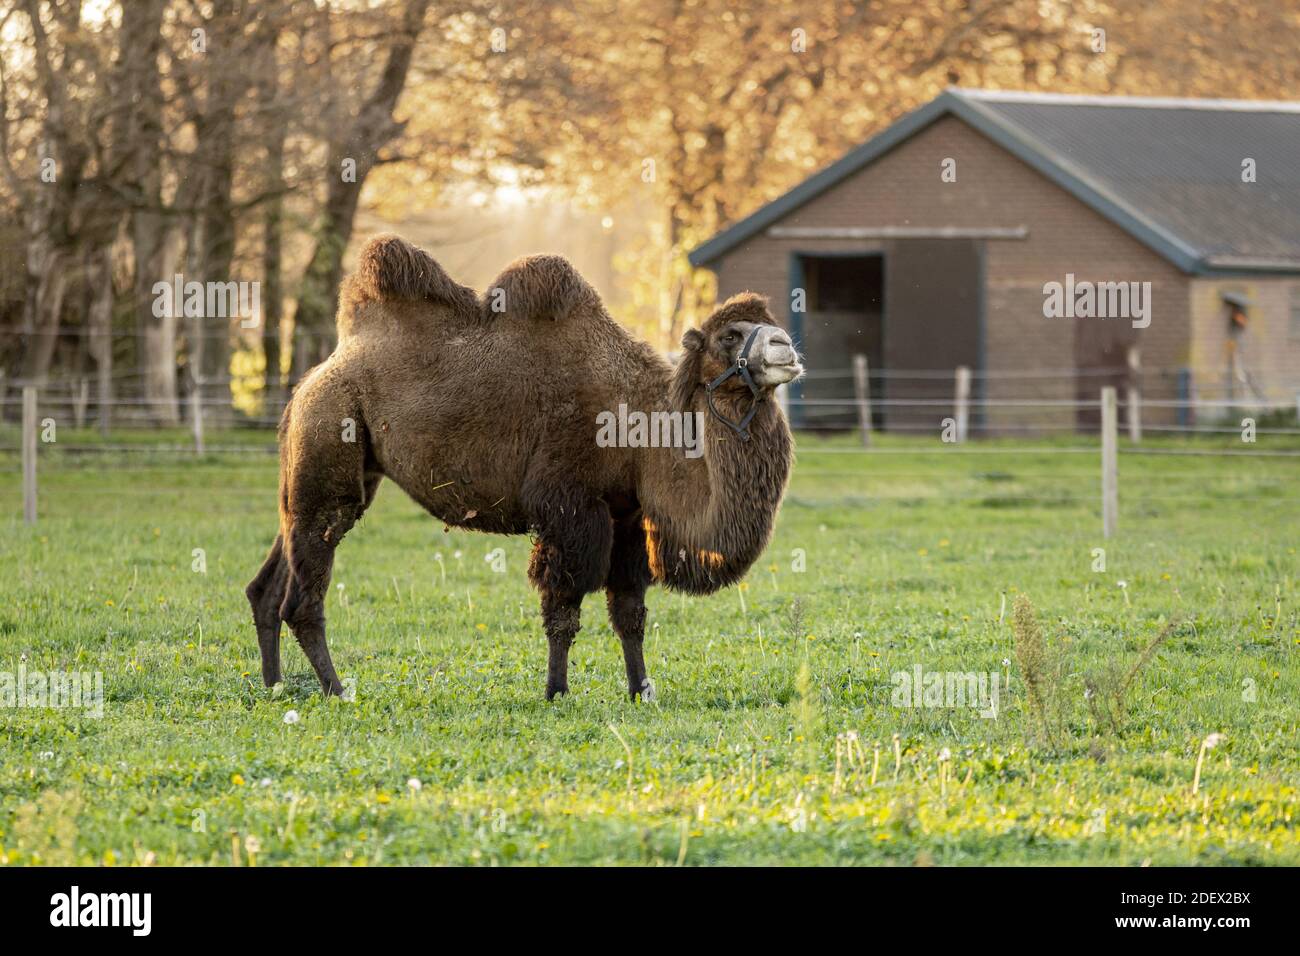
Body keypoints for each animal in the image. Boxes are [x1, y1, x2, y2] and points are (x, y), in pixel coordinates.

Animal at [246, 234, 803, 701]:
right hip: (329, 443)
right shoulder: (568, 505)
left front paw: (640, 690)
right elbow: (563, 608)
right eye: (729, 334)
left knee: (268, 584)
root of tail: (311, 380)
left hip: (320, 476)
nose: (786, 347)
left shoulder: (625, 513)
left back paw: (275, 686)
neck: (642, 429)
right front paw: (556, 692)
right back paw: (336, 690)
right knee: (303, 596)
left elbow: (629, 612)